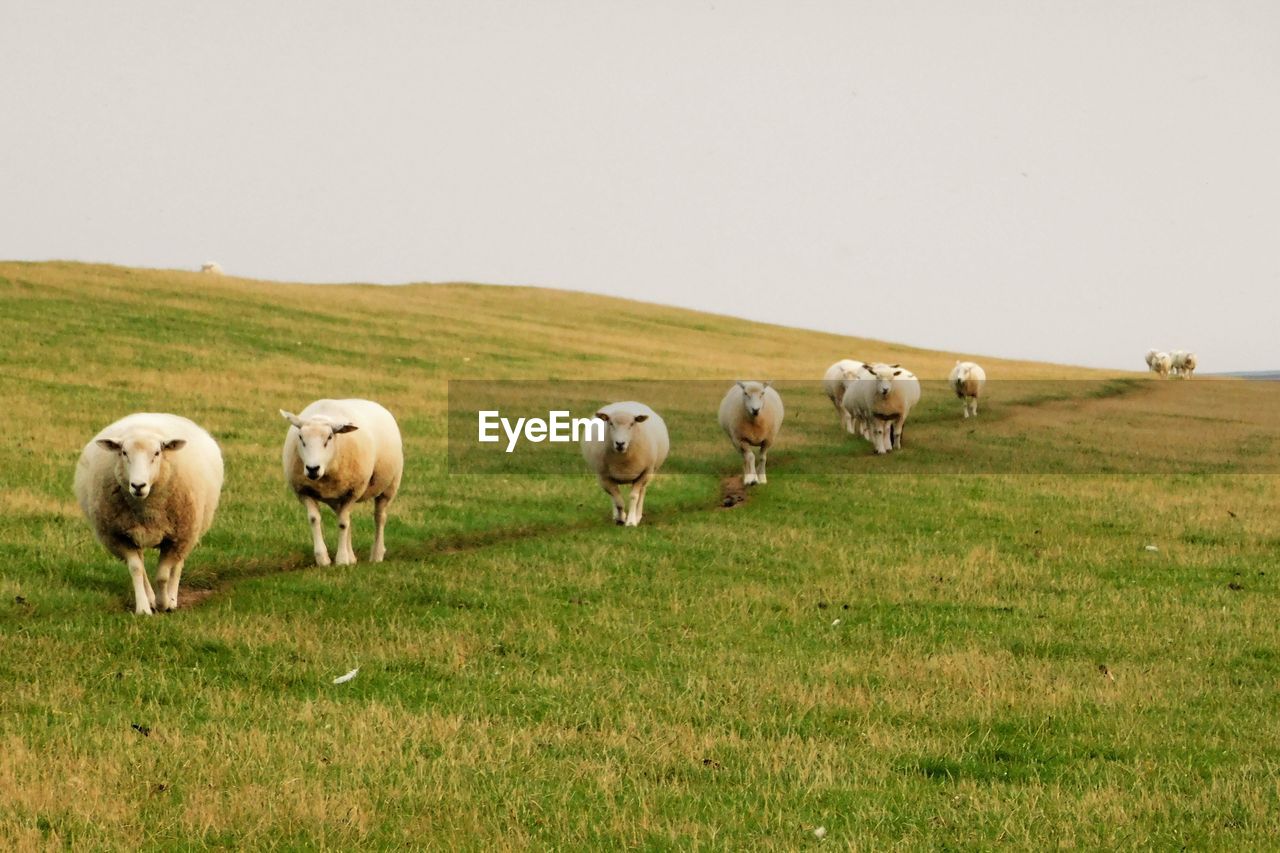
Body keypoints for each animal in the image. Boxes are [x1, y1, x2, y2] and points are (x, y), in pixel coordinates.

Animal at [72, 412, 224, 612]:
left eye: (157, 453)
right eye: (124, 452)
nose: (138, 485)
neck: (147, 509)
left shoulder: (176, 537)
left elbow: (163, 575)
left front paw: (163, 603)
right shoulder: (120, 537)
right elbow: (136, 569)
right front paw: (144, 608)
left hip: (189, 532)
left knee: (178, 565)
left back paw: (172, 599)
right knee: (143, 566)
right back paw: (151, 598)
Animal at [279, 397, 399, 563]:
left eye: (329, 437)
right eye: (301, 437)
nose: (312, 468)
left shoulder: (353, 491)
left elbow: (342, 524)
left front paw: (341, 559)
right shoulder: (303, 491)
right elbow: (315, 519)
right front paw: (323, 559)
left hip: (389, 486)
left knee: (379, 518)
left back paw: (377, 555)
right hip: (336, 498)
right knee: (346, 518)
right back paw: (352, 557)